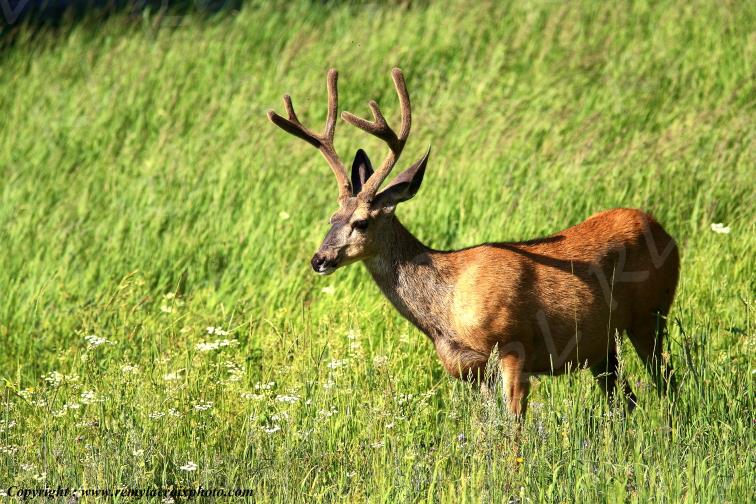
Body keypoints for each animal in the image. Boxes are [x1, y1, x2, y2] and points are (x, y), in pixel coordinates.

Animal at [267, 68, 679, 419]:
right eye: (331, 219)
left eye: (362, 222)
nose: (319, 259)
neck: (445, 309)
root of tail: (661, 228)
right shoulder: (471, 368)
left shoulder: (513, 344)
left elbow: (513, 426)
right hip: (602, 345)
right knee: (627, 399)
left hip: (652, 314)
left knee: (667, 382)